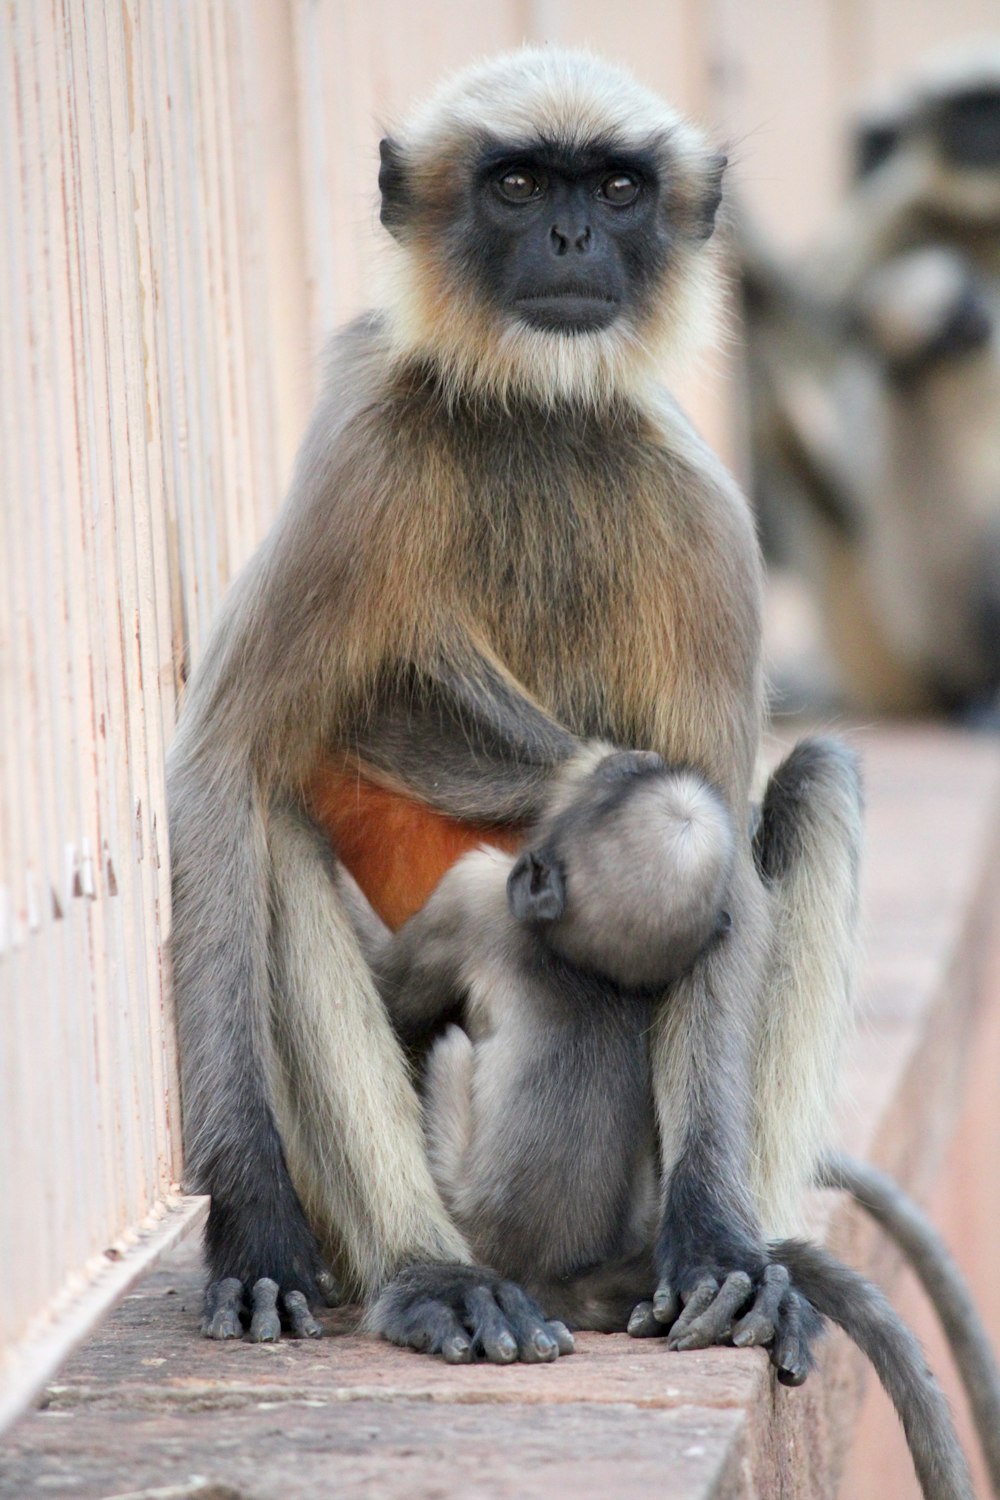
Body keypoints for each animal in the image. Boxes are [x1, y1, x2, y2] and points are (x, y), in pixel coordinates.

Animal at [167, 49, 863, 1362]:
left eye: (619, 187)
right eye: (521, 182)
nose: (572, 235)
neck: (532, 413)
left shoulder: (704, 519)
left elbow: (718, 839)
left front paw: (718, 1243)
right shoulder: (358, 459)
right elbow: (219, 770)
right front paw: (251, 1223)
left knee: (817, 776)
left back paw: (723, 1252)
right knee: (273, 828)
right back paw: (427, 1273)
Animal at [346, 747, 977, 1500]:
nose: (625, 754)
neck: (582, 961)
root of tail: (550, 1274)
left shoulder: (471, 895)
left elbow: (394, 995)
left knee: (446, 1049)